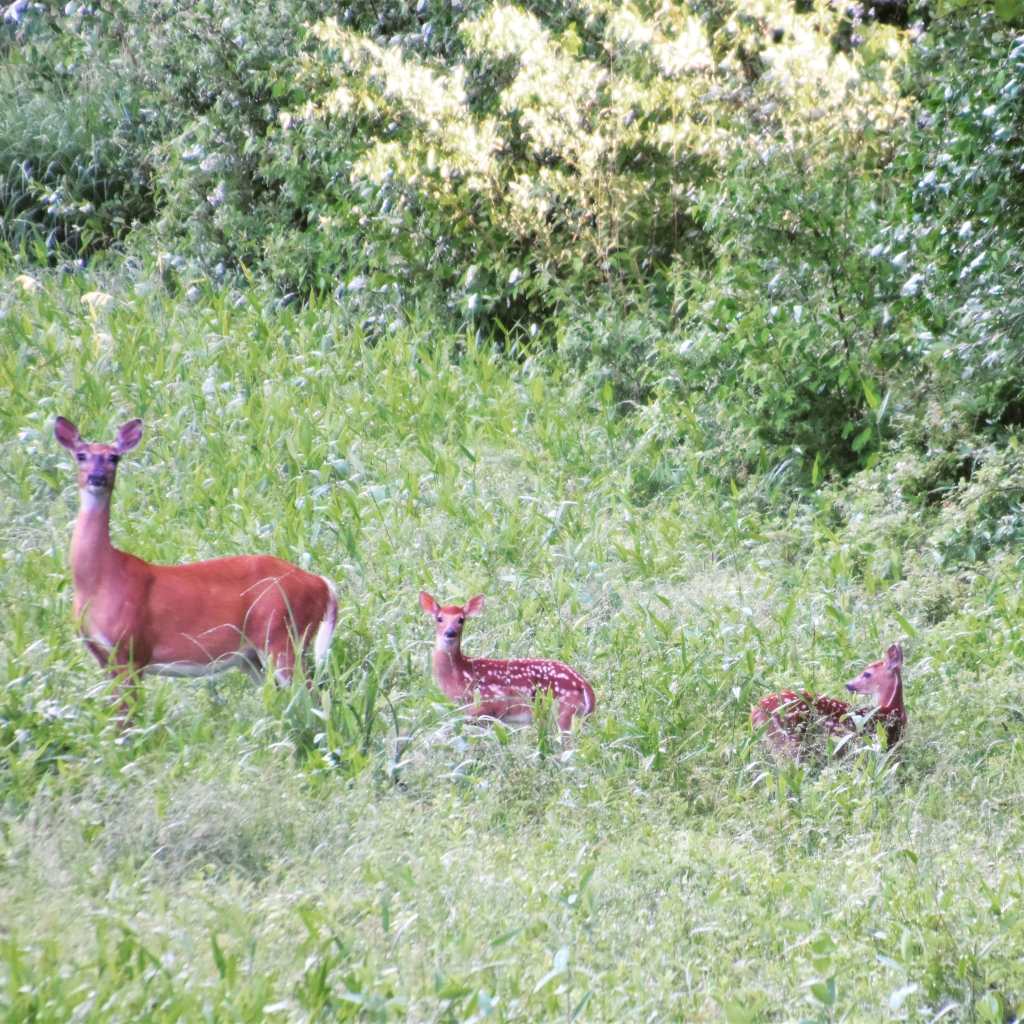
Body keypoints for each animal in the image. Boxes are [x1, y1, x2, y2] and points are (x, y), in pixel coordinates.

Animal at [55, 416, 338, 723]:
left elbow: (128, 718)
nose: (97, 478)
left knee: (313, 696)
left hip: (281, 633)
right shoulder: (102, 655)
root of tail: (322, 584)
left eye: (114, 457)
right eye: (81, 455)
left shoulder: (131, 649)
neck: (100, 580)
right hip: (253, 655)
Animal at [419, 592, 596, 732]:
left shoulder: (487, 706)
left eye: (461, 619)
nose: (450, 633)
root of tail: (585, 686)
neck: (461, 674)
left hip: (563, 712)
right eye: (439, 618)